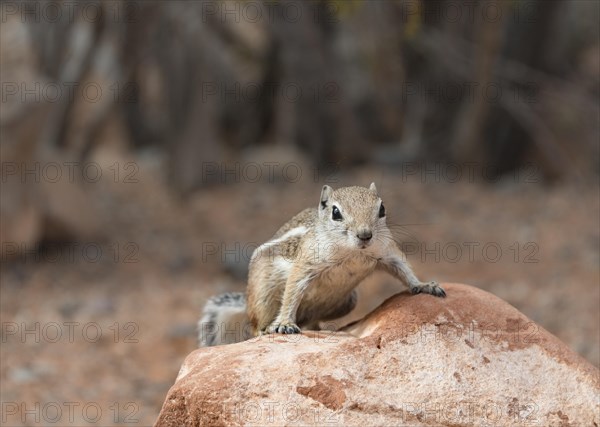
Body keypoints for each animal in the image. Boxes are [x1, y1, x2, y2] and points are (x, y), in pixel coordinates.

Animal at [198, 183, 446, 348]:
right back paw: (267, 328)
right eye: (336, 212)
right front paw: (285, 323)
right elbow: (293, 290)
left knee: (312, 321)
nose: (365, 235)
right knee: (255, 324)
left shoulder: (386, 251)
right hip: (263, 294)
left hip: (348, 302)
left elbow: (403, 269)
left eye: (382, 208)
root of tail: (247, 301)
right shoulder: (307, 262)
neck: (353, 253)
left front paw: (425, 285)